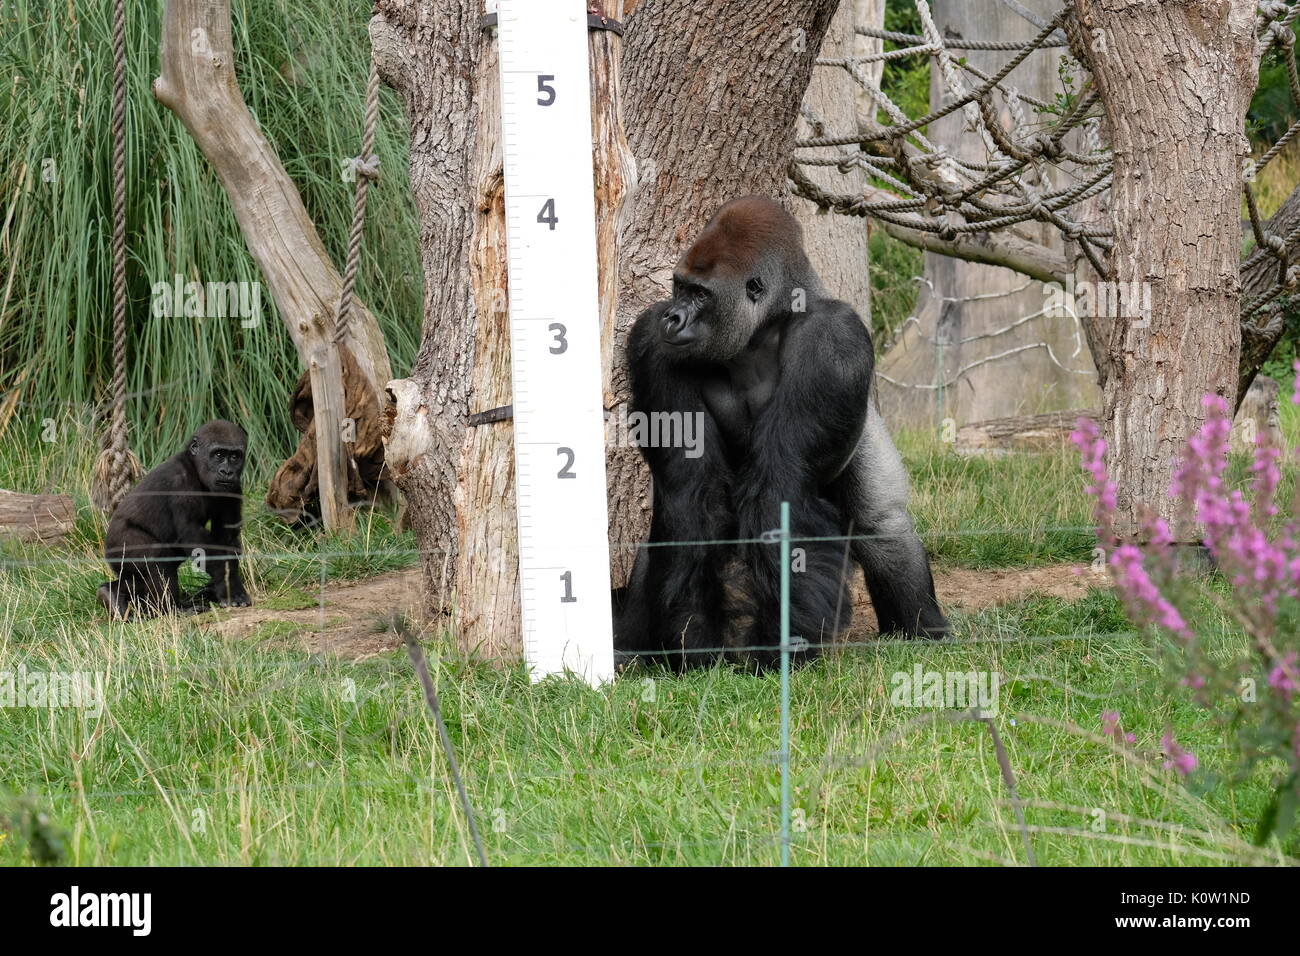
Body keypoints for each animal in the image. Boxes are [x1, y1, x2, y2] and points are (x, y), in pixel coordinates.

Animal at [96, 421, 250, 616]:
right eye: (219, 454)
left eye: (235, 456)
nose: (227, 471)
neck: (194, 466)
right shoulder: (181, 484)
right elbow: (192, 535)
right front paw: (229, 589)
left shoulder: (234, 487)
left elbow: (226, 537)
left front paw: (225, 585)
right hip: (120, 545)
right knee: (157, 557)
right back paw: (171, 609)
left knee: (141, 573)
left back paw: (110, 594)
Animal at [618, 197, 946, 671]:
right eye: (679, 288)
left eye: (700, 294)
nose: (674, 318)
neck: (762, 331)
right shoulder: (652, 340)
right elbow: (692, 493)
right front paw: (693, 640)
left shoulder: (833, 337)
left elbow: (781, 488)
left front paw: (782, 646)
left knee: (881, 525)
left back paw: (922, 630)